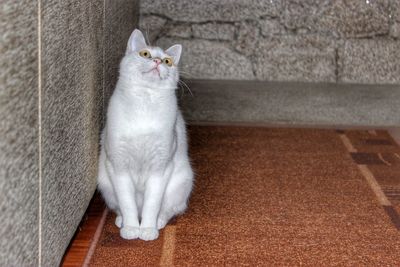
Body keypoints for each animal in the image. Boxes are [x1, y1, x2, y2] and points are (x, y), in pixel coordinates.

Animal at [97, 28, 194, 241]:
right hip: (106, 185)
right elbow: (127, 204)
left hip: (180, 185)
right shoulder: (119, 167)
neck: (145, 103)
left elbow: (152, 204)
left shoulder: (161, 167)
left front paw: (148, 230)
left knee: (167, 210)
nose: (157, 61)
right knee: (121, 208)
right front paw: (132, 228)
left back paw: (157, 223)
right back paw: (122, 221)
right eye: (145, 54)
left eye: (168, 61)